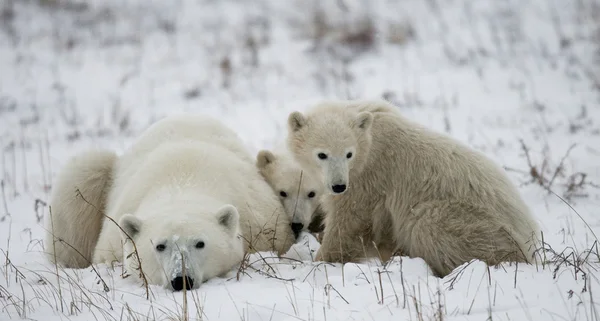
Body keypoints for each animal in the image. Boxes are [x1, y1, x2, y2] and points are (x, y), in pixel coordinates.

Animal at [45, 115, 294, 290]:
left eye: (200, 243)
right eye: (160, 245)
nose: (181, 280)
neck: (182, 182)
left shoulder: (260, 221)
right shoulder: (113, 241)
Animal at [284, 99, 540, 276]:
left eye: (349, 154)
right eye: (322, 154)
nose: (338, 186)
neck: (369, 139)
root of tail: (529, 242)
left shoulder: (370, 177)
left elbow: (351, 222)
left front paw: (319, 261)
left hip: (476, 225)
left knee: (427, 224)